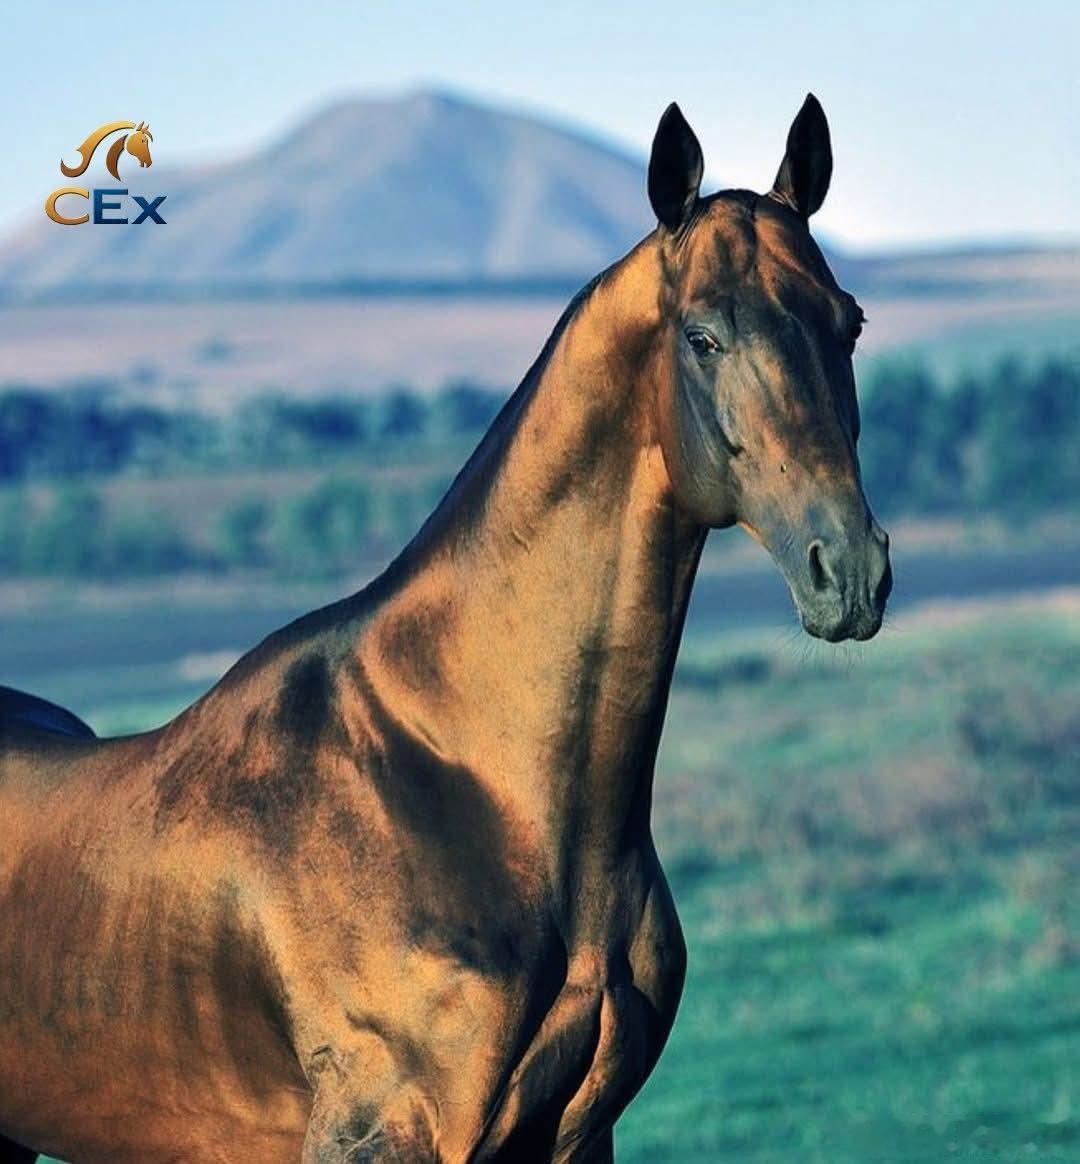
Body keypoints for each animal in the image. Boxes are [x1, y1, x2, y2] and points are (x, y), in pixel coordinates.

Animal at [0, 94, 891, 1162]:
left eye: (848, 323)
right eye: (702, 337)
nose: (849, 571)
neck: (467, 778)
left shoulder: (577, 1137)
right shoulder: (384, 1136)